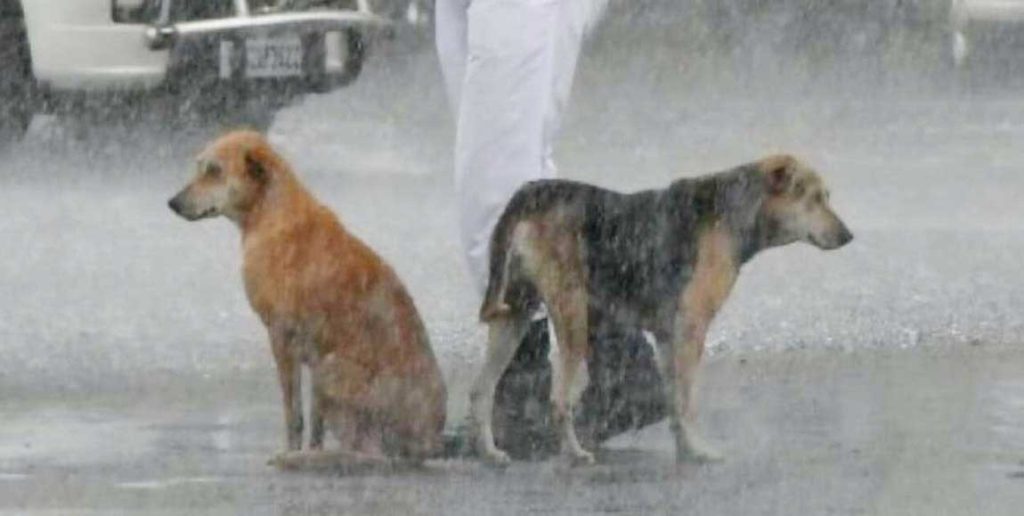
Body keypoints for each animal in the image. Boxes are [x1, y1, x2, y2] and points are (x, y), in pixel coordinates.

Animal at [168, 130, 448, 466]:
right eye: (200, 167)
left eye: (214, 171)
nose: (172, 203)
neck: (270, 212)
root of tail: (428, 443)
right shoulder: (311, 355)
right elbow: (315, 422)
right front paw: (310, 449)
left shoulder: (281, 337)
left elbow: (294, 413)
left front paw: (292, 450)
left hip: (331, 369)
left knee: (369, 450)